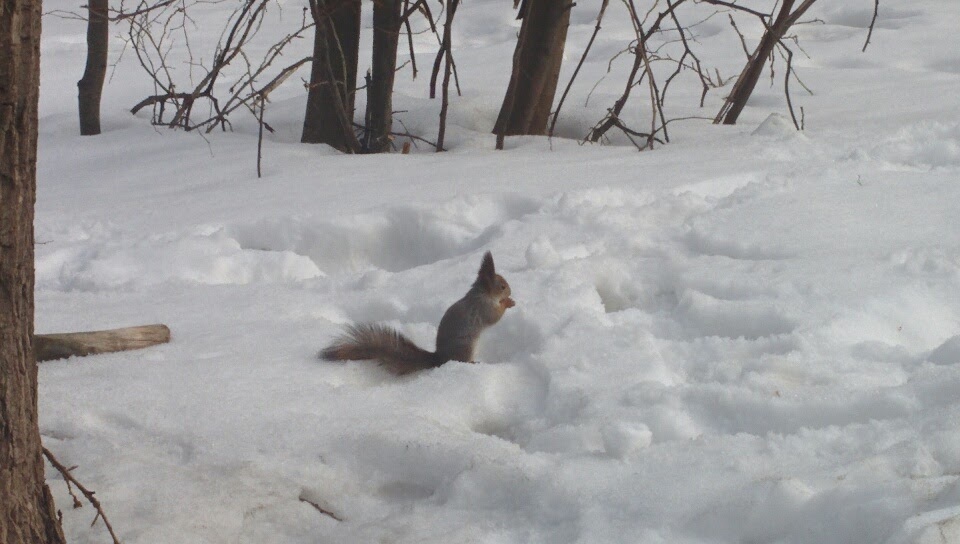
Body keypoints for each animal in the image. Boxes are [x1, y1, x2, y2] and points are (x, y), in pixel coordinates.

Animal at [320, 251, 516, 374]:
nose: (510, 291)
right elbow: (493, 318)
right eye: (502, 286)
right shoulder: (483, 308)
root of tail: (439, 358)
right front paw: (508, 303)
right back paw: (473, 363)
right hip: (466, 347)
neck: (481, 294)